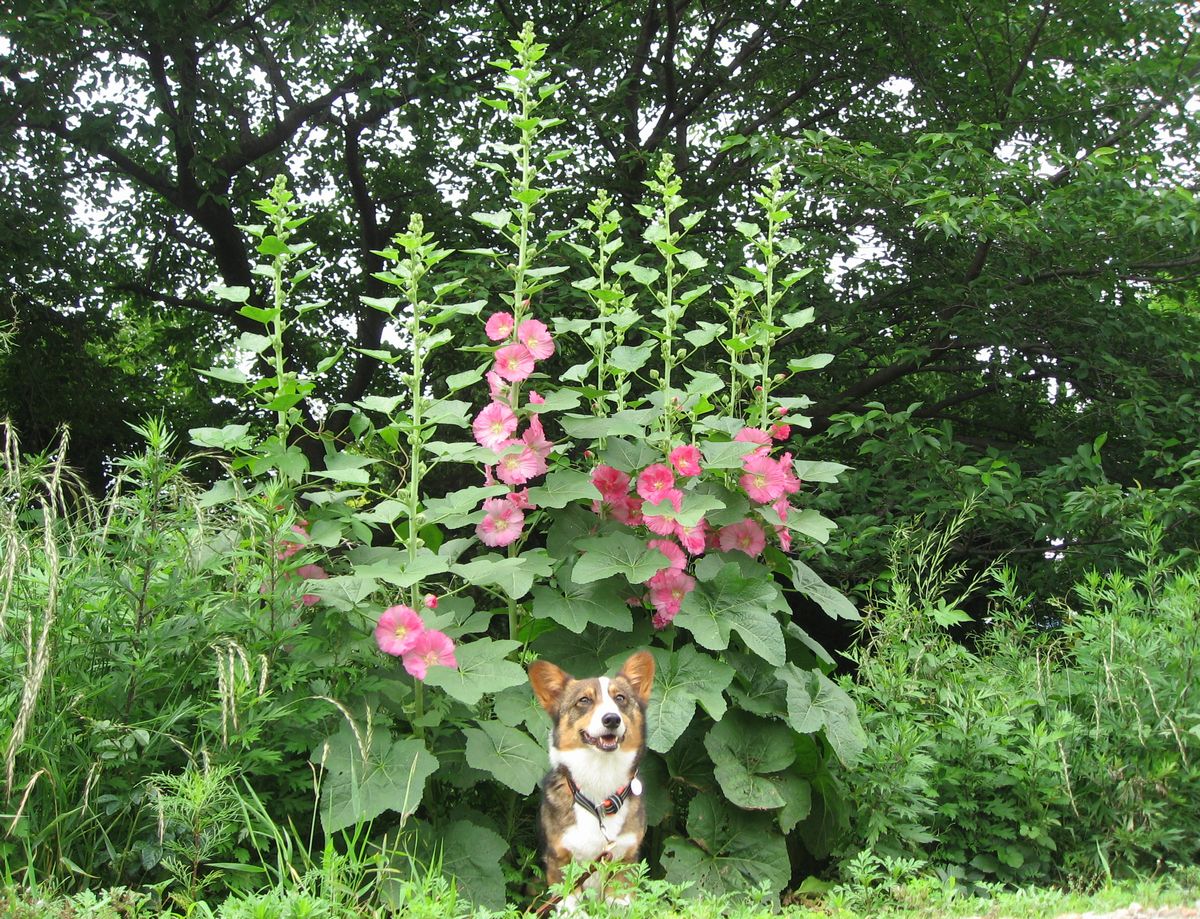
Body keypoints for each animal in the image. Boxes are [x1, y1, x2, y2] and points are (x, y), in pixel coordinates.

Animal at [528, 652, 657, 902]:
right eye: (584, 701)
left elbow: (620, 900)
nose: (612, 719)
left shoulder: (624, 860)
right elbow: (570, 903)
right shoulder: (560, 861)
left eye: (620, 698)